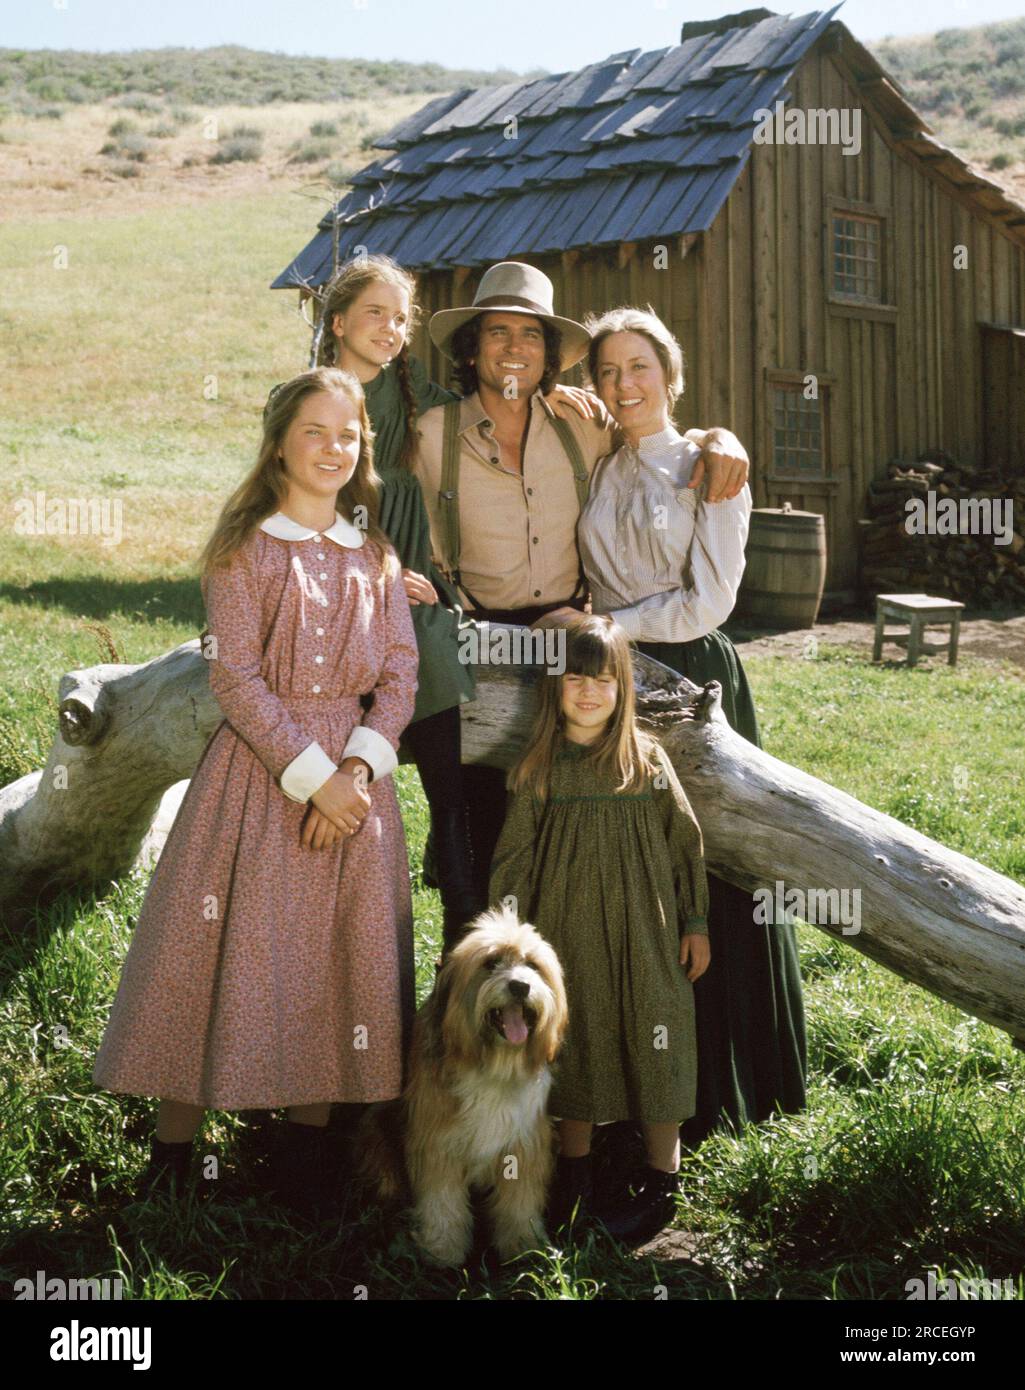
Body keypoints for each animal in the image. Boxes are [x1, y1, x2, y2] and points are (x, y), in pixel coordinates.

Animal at [358, 906, 567, 1267]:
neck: (493, 1066)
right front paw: (442, 1250)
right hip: (378, 1129)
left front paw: (523, 1244)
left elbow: (520, 1201)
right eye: (491, 963)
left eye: (532, 965)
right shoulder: (437, 1143)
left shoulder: (524, 1143)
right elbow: (441, 1201)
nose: (520, 986)